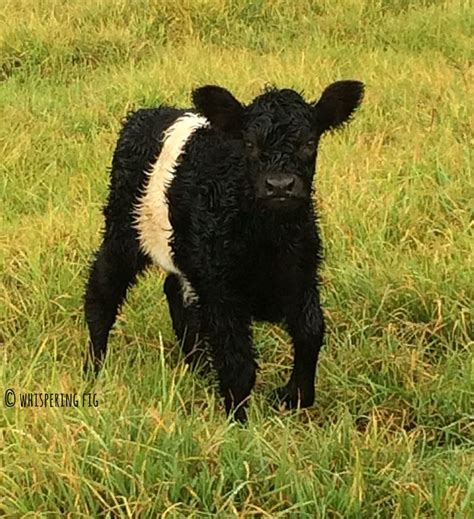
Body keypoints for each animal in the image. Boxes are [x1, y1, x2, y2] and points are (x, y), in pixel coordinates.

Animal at [84, 82, 362, 422]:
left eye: (309, 142)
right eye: (249, 144)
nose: (279, 185)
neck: (268, 239)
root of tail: (149, 112)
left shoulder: (302, 275)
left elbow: (311, 332)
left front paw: (293, 396)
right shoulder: (223, 292)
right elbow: (238, 363)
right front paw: (237, 422)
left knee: (176, 294)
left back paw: (200, 368)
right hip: (124, 229)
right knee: (102, 292)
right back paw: (94, 368)